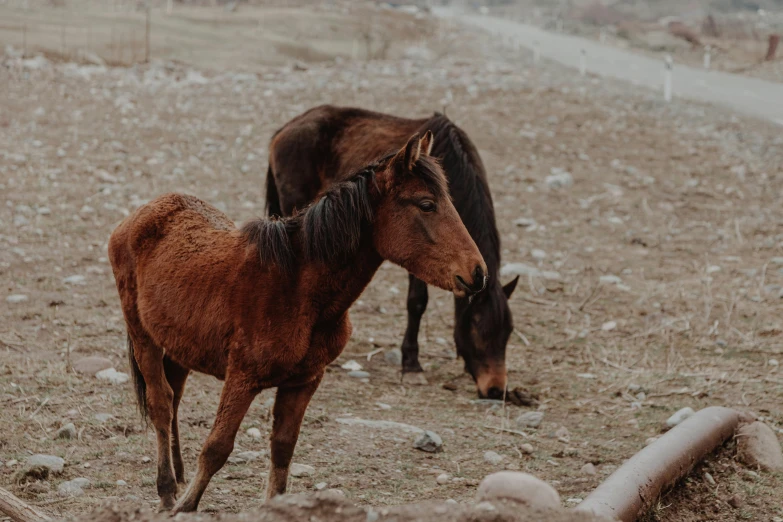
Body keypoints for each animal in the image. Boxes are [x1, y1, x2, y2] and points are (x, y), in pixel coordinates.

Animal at [108, 131, 490, 512]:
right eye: (426, 204)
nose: (478, 273)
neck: (298, 289)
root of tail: (139, 215)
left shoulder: (303, 382)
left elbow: (282, 450)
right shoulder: (242, 377)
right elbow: (217, 447)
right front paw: (184, 506)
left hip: (178, 347)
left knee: (174, 400)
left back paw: (177, 474)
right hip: (143, 337)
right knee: (161, 404)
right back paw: (166, 488)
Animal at [266, 105, 516, 398]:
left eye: (507, 334)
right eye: (477, 329)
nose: (496, 389)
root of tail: (285, 129)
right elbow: (417, 302)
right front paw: (411, 365)